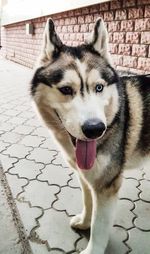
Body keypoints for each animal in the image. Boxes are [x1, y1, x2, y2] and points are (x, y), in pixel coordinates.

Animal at [30, 18, 150, 254]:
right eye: (66, 90)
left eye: (99, 88)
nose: (95, 129)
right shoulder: (84, 176)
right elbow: (88, 203)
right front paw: (85, 222)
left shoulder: (107, 186)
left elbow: (99, 225)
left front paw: (93, 247)